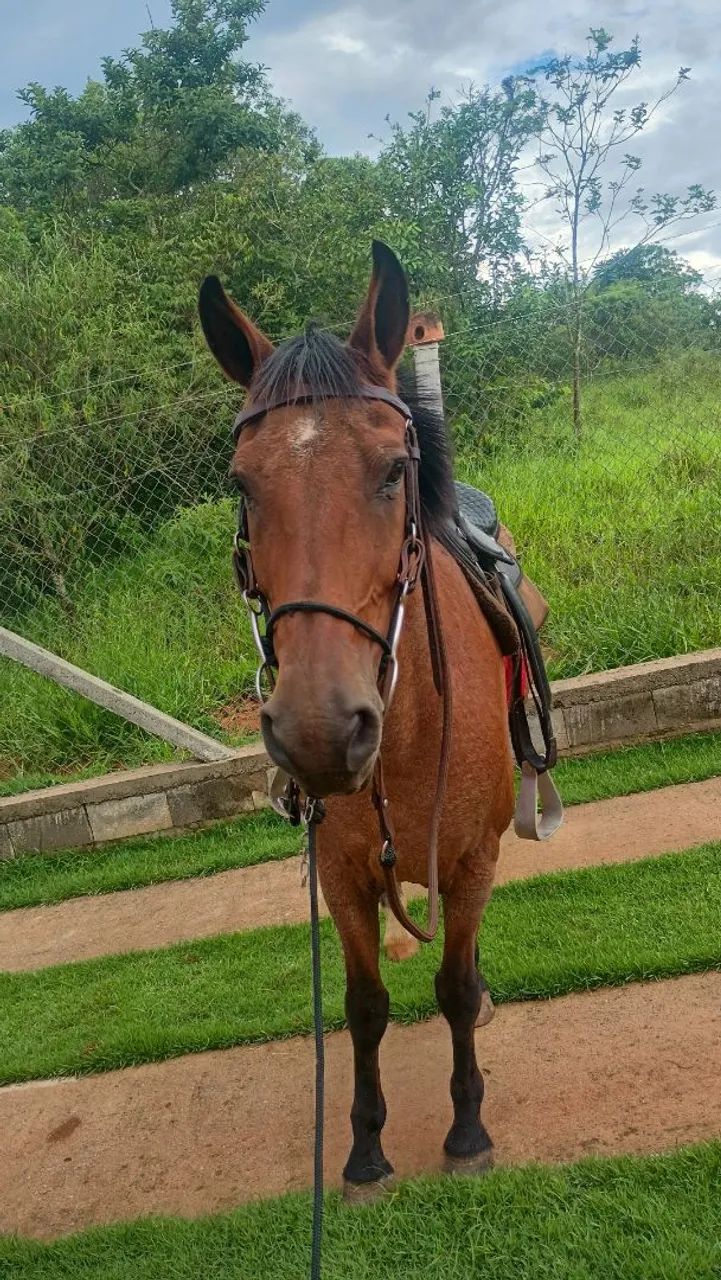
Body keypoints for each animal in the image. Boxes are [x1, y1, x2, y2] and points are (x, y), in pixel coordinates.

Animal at [198, 241, 515, 1199]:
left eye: (392, 470)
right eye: (241, 483)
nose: (319, 731)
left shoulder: (471, 859)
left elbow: (452, 987)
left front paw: (465, 1129)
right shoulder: (338, 878)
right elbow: (364, 1006)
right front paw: (366, 1148)